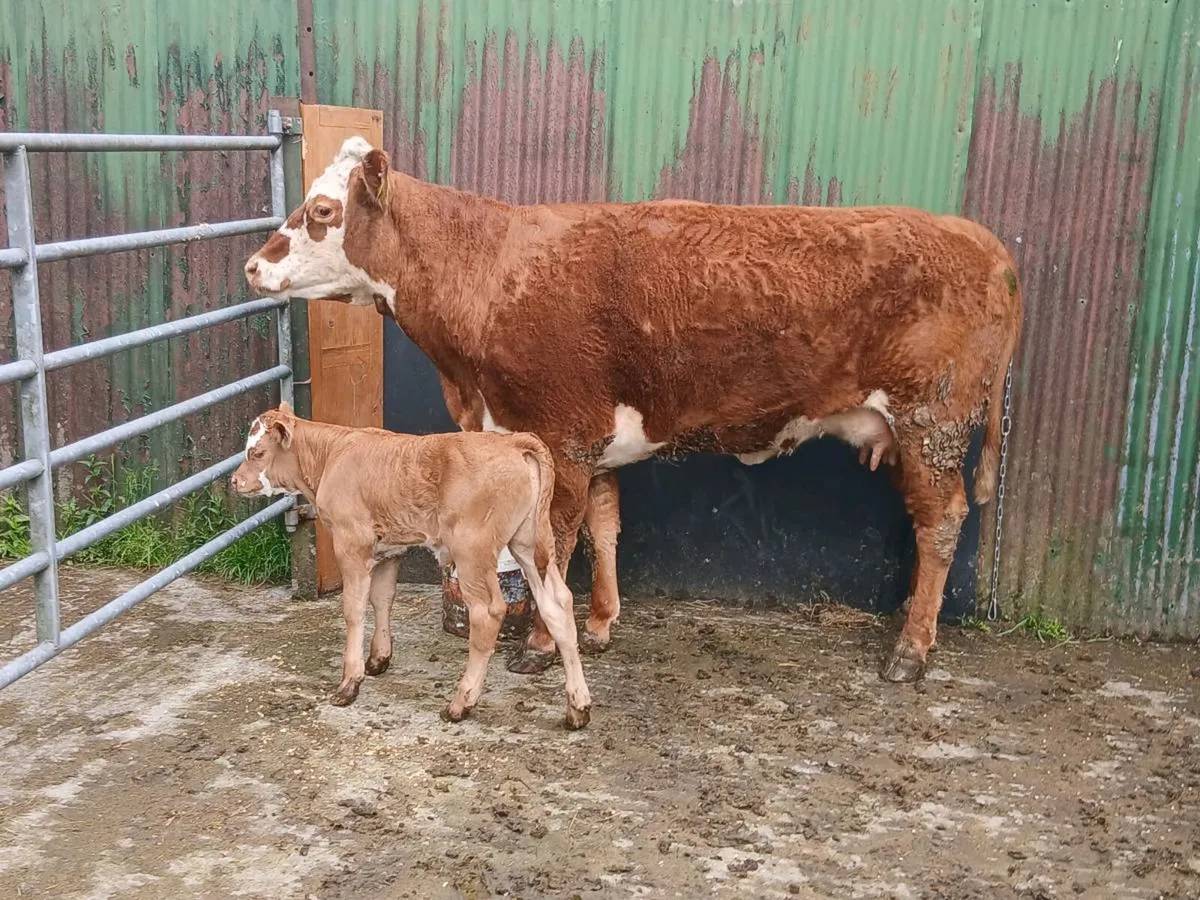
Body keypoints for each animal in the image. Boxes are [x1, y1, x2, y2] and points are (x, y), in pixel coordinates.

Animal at [230, 402, 592, 729]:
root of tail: (512, 441)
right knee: (557, 603)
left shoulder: (351, 543)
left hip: (473, 552)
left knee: (487, 612)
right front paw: (378, 658)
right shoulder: (390, 549)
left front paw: (349, 683)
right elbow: (382, 599)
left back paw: (460, 703)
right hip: (530, 542)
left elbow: (353, 609)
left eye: (257, 452)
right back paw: (577, 707)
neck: (330, 455)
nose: (234, 481)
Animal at [244, 138, 1022, 685]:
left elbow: (554, 542)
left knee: (942, 521)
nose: (253, 265)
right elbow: (604, 526)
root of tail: (981, 240)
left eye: (322, 211)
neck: (489, 274)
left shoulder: (558, 436)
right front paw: (597, 624)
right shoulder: (589, 440)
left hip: (932, 422)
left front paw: (538, 646)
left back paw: (911, 650)